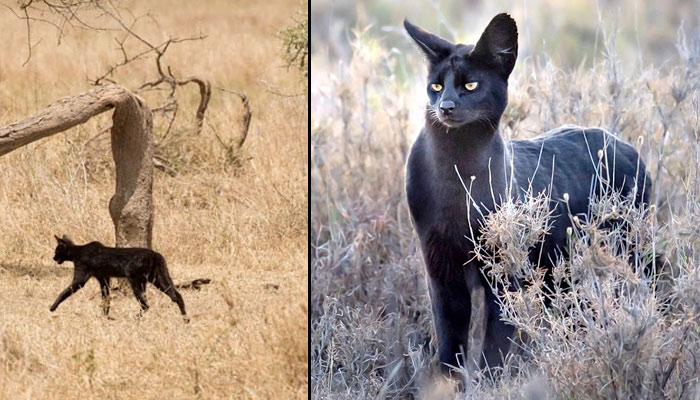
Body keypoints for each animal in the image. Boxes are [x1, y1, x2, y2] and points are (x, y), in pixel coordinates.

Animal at [50, 234, 209, 322]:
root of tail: (156, 254)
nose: (53, 258)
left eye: (56, 250)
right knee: (176, 295)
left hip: (136, 280)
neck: (77, 252)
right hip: (157, 279)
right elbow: (106, 298)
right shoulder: (104, 278)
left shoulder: (80, 279)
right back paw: (185, 319)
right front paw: (106, 316)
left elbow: (65, 291)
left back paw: (135, 318)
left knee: (146, 304)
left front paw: (52, 307)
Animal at [404, 14, 652, 372]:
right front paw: (447, 381)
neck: (457, 171)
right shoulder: (441, 270)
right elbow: (450, 344)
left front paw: (490, 380)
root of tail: (626, 146)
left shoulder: (504, 274)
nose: (446, 106)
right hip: (560, 274)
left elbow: (495, 343)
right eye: (436, 86)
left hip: (625, 251)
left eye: (471, 85)